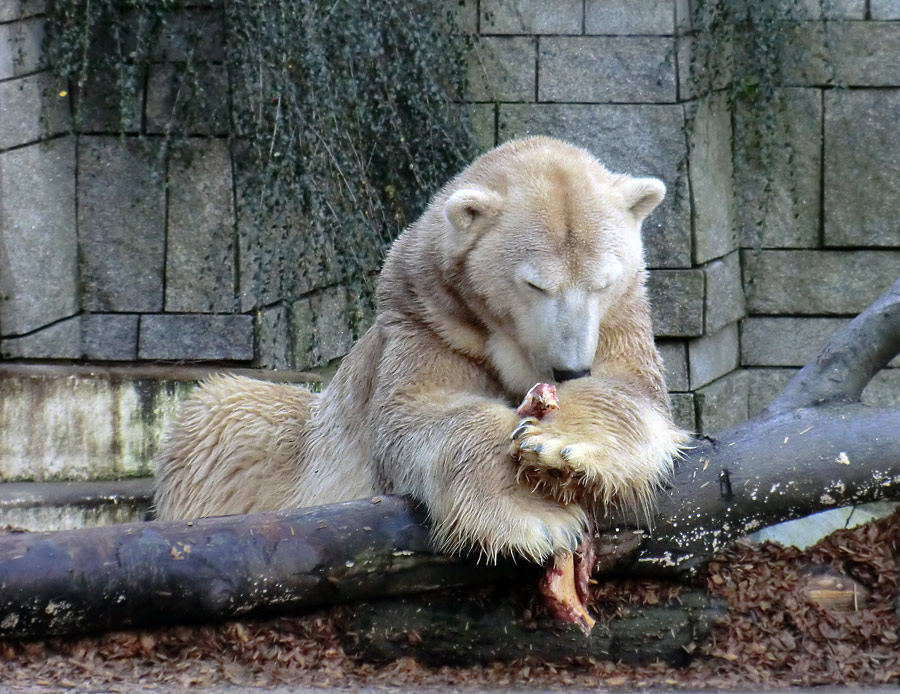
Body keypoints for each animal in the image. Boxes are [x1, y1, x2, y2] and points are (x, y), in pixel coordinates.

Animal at [156, 137, 688, 564]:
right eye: (535, 284)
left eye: (603, 281)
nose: (570, 368)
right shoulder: (428, 322)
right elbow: (422, 413)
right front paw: (536, 516)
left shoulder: (621, 318)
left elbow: (629, 392)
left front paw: (559, 446)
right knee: (226, 413)